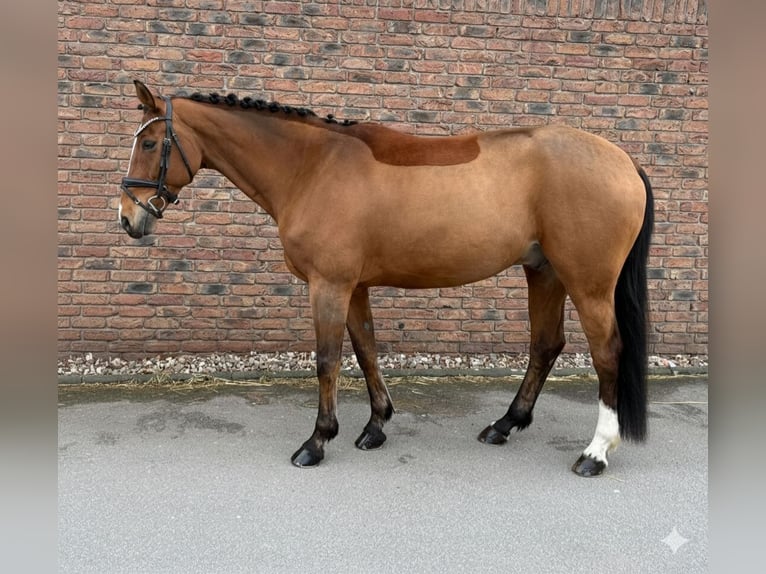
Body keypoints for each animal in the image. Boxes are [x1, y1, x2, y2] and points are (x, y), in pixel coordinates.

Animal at [118, 80, 654, 477]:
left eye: (149, 142)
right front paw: (375, 427)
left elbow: (328, 359)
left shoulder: (329, 285)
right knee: (545, 345)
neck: (312, 167)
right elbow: (366, 349)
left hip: (588, 283)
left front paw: (317, 441)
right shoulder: (354, 286)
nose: (128, 218)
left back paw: (595, 452)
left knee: (607, 353)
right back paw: (504, 425)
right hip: (543, 272)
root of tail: (623, 159)